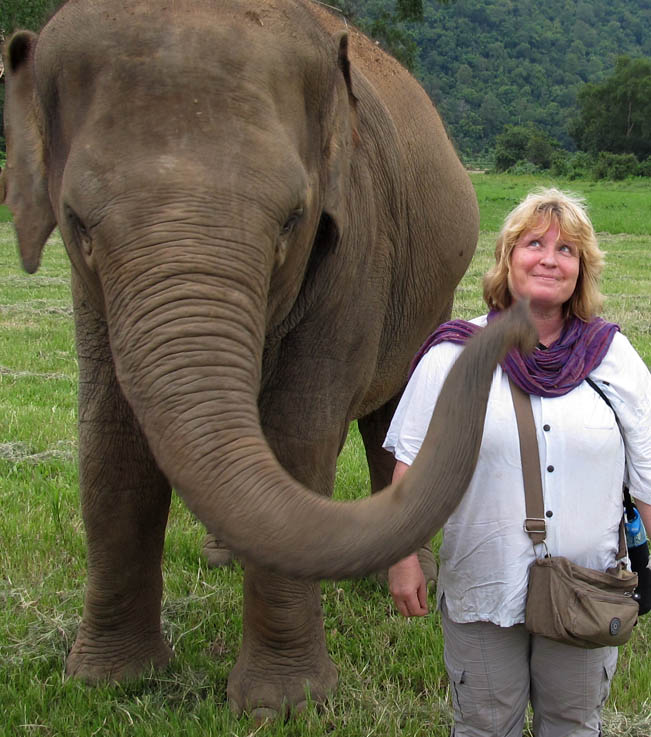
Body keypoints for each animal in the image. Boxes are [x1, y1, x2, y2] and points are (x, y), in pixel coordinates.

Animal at [1, 0, 536, 719]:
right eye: (77, 222)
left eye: (292, 219)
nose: (523, 322)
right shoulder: (90, 291)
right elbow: (111, 440)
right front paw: (108, 682)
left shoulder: (357, 242)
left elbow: (296, 434)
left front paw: (286, 705)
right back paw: (224, 556)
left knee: (388, 414)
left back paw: (402, 584)